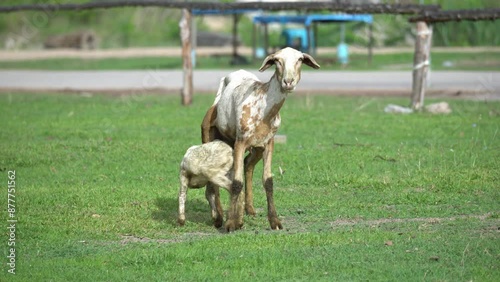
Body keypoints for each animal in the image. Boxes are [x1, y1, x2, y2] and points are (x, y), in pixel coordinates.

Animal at [200, 46, 320, 231]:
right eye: (277, 60)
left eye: (300, 59)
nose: (288, 82)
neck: (263, 108)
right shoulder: (240, 141)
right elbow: (236, 182)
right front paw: (230, 223)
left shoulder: (269, 142)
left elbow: (268, 181)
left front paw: (275, 221)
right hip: (209, 135)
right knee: (214, 178)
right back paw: (219, 217)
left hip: (252, 147)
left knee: (247, 165)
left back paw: (247, 210)